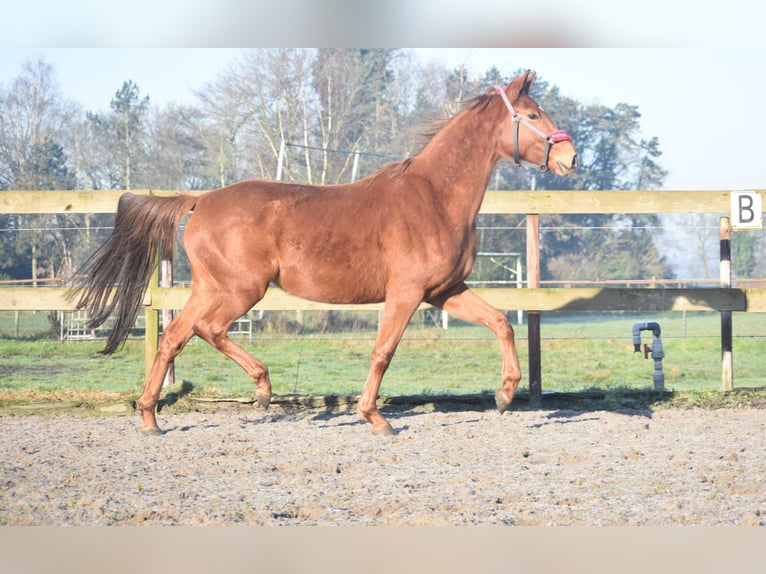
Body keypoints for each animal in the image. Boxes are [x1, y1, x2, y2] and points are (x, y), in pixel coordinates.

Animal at [73, 73, 576, 440]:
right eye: (533, 113)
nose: (570, 159)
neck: (434, 197)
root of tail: (201, 201)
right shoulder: (407, 293)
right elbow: (383, 351)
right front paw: (375, 418)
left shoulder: (444, 291)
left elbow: (500, 323)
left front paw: (505, 395)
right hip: (240, 290)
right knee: (206, 330)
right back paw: (262, 389)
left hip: (211, 287)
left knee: (174, 337)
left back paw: (150, 418)